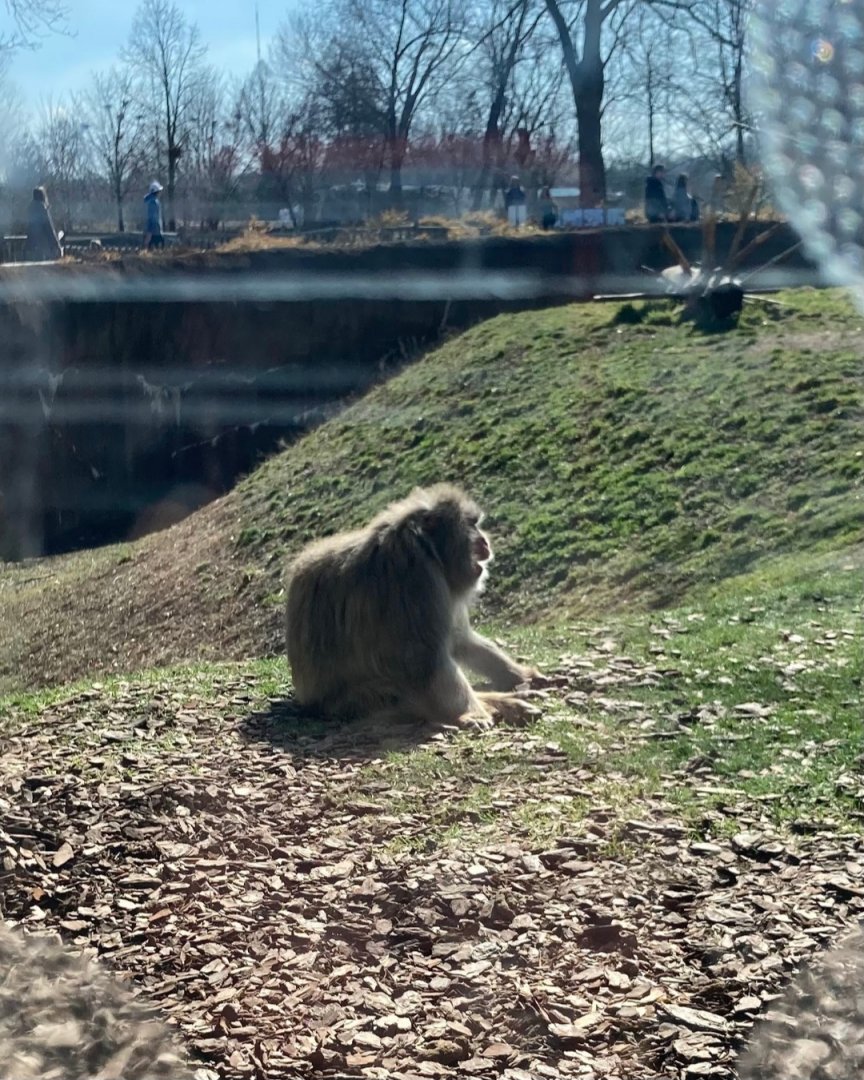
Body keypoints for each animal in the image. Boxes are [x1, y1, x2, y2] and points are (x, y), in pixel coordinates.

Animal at [285, 483, 539, 731]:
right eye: (471, 525)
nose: (485, 541)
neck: (428, 548)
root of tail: (310, 701)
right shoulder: (417, 575)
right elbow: (423, 658)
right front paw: (470, 712)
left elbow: (459, 640)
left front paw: (520, 675)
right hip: (359, 700)